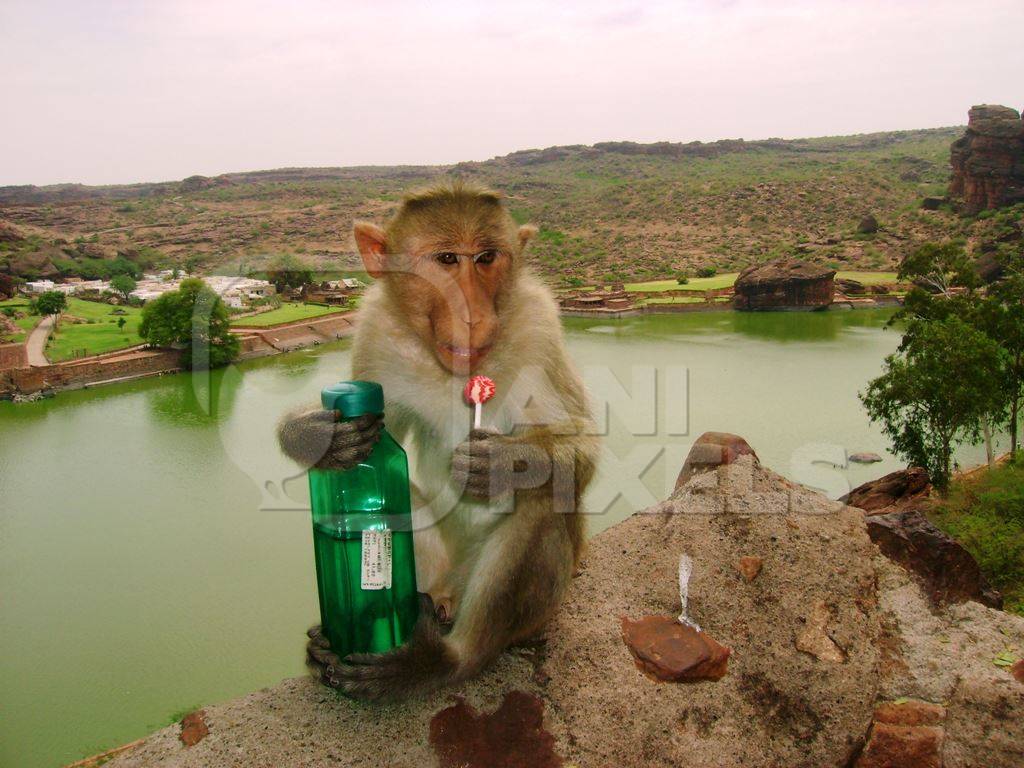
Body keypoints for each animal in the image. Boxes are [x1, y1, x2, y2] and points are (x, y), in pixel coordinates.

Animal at [280, 182, 598, 704]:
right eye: (446, 259)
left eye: (486, 258)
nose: (472, 312)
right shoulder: (375, 331)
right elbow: (372, 427)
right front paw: (318, 435)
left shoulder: (541, 326)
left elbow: (581, 445)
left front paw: (504, 462)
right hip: (435, 567)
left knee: (546, 498)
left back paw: (443, 660)